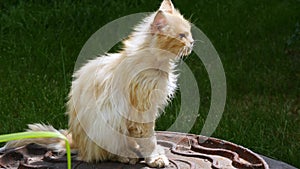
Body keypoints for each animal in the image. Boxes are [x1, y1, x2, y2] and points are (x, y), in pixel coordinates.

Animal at [1, 0, 193, 167]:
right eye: (181, 36)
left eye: (189, 33)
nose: (192, 43)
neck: (158, 64)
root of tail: (77, 142)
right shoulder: (141, 113)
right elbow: (148, 139)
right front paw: (155, 159)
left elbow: (148, 139)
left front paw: (155, 154)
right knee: (103, 154)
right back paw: (127, 156)